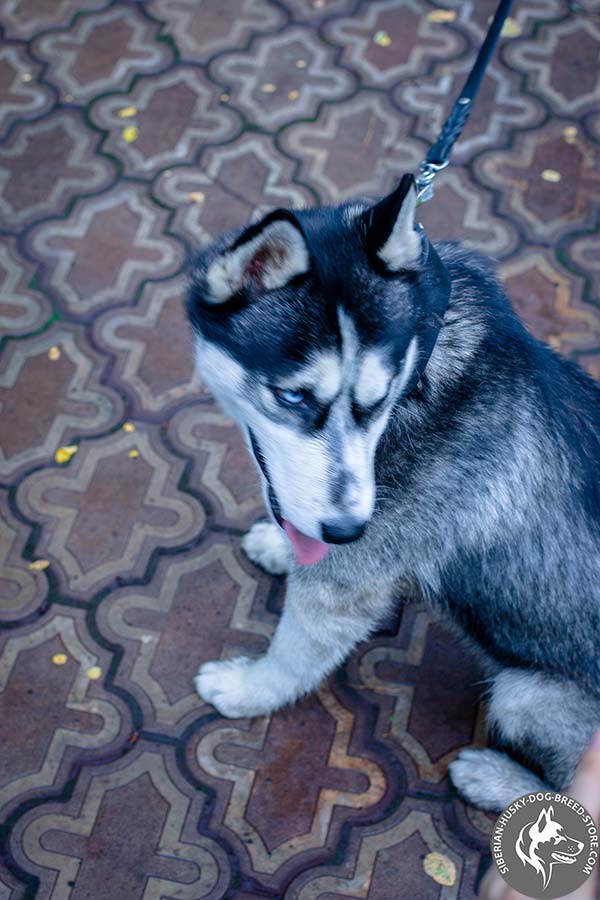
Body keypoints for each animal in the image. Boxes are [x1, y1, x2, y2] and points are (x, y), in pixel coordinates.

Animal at [185, 178, 596, 816]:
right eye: (294, 397)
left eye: (375, 403)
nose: (348, 530)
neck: (423, 370)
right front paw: (280, 545)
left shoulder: (343, 591)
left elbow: (294, 655)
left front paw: (251, 690)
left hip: (529, 692)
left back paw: (494, 778)